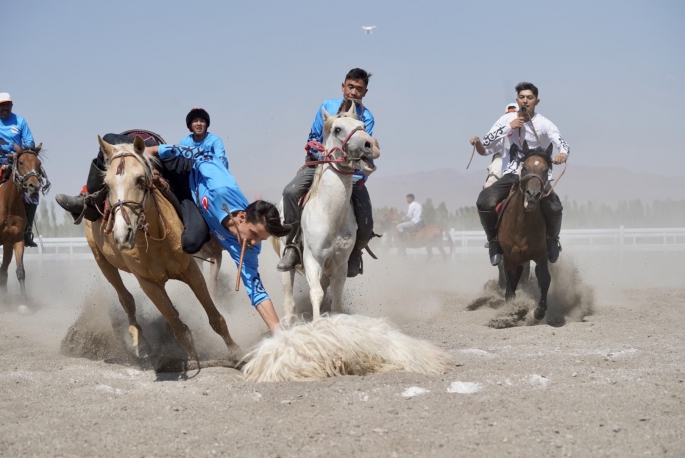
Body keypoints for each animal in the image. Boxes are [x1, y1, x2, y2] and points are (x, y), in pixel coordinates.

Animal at [0, 144, 48, 304]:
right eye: (21, 163)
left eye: (39, 163)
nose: (34, 186)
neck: (8, 204)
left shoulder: (17, 240)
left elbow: (20, 271)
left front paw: (23, 301)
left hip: (7, 245)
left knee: (3, 271)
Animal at [496, 142, 556, 318]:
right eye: (524, 167)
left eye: (546, 170)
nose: (533, 194)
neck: (521, 224)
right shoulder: (509, 258)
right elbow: (510, 287)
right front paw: (509, 313)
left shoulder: (540, 254)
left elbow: (544, 278)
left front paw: (539, 311)